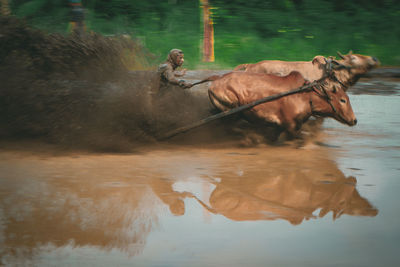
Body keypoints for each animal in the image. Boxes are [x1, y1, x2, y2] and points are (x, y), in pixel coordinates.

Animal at [209, 70, 356, 140]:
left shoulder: (280, 127)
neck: (306, 95)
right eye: (343, 100)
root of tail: (217, 79)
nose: (354, 120)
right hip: (231, 111)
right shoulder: (291, 127)